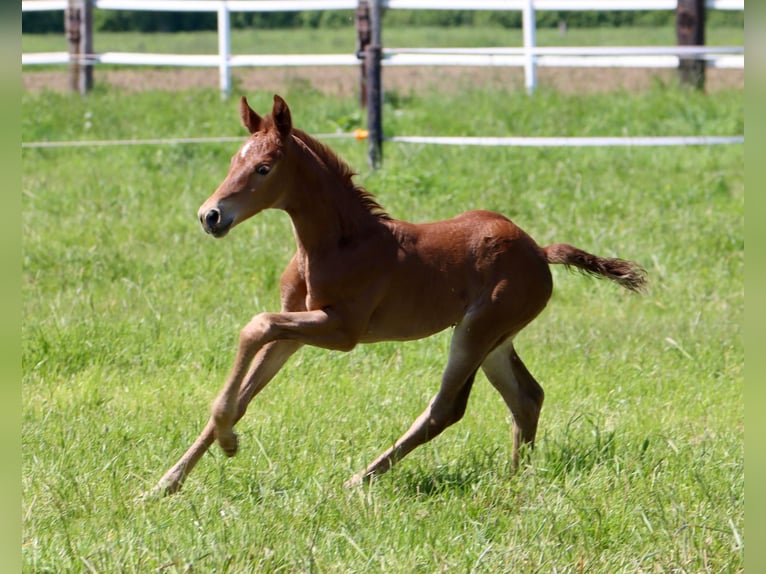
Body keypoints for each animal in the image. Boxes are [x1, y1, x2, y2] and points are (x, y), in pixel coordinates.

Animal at [152, 94, 648, 496]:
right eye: (231, 162)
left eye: (263, 167)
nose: (210, 216)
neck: (338, 244)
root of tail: (540, 252)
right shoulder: (294, 330)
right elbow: (244, 392)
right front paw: (166, 483)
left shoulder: (341, 330)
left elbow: (255, 326)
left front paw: (229, 443)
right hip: (496, 339)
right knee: (527, 396)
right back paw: (515, 478)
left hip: (476, 330)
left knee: (447, 408)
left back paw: (359, 479)